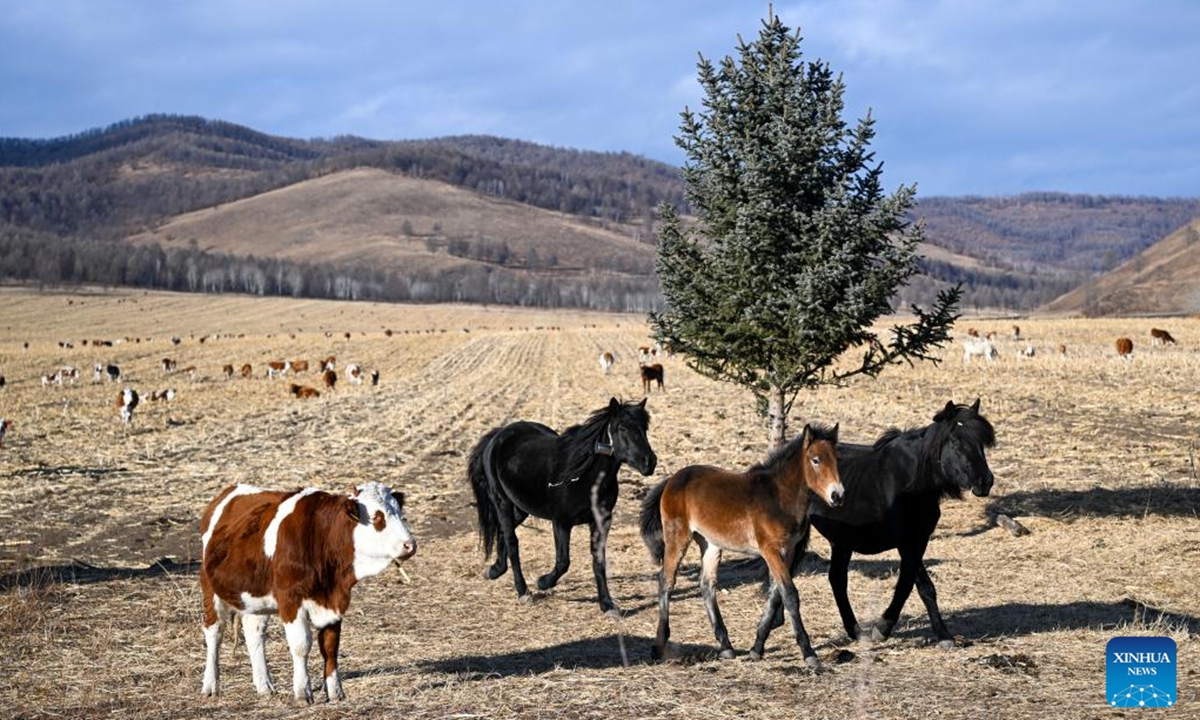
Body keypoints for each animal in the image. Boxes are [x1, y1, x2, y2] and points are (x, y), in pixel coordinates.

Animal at [199, 480, 415, 700]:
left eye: (399, 512)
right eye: (377, 517)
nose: (410, 545)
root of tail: (229, 491)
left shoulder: (334, 603)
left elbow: (330, 647)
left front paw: (336, 692)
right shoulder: (290, 600)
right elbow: (301, 645)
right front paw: (303, 691)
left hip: (256, 595)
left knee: (254, 632)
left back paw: (264, 685)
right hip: (210, 589)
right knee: (214, 632)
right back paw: (211, 685)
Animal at [468, 398, 657, 612]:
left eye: (644, 428)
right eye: (622, 428)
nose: (649, 462)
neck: (584, 476)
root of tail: (499, 434)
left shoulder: (600, 522)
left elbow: (598, 561)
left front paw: (607, 604)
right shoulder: (561, 522)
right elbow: (563, 562)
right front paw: (542, 582)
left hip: (521, 508)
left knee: (501, 533)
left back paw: (494, 571)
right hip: (503, 503)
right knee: (511, 541)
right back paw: (523, 591)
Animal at [638, 422, 844, 662]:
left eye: (837, 459)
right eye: (815, 460)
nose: (837, 496)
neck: (779, 496)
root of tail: (671, 480)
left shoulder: (789, 550)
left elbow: (776, 595)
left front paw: (757, 648)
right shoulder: (770, 550)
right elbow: (789, 594)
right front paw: (809, 653)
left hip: (710, 543)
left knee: (707, 584)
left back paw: (726, 646)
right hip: (678, 536)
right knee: (666, 580)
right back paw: (659, 646)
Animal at [801, 398, 998, 648]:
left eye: (981, 442)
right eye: (955, 440)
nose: (985, 481)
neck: (910, 483)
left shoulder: (918, 540)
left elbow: (925, 587)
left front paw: (944, 635)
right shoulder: (906, 543)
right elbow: (905, 585)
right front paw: (882, 629)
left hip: (840, 543)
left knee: (835, 579)